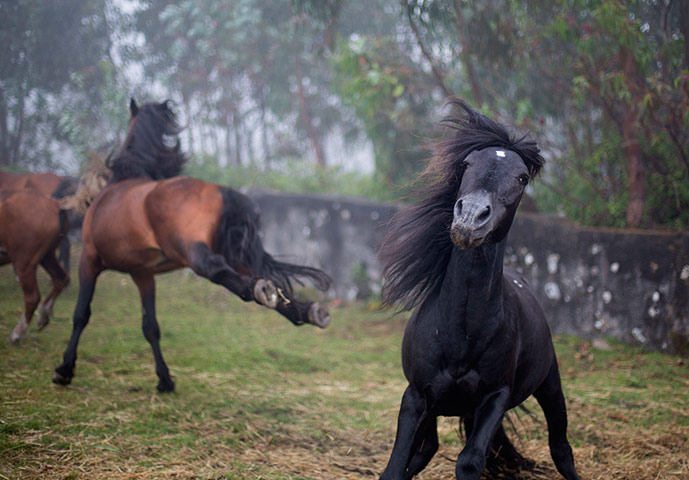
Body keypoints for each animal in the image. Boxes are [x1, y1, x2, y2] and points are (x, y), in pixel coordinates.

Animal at [0, 189, 70, 344]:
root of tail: (55, 205)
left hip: (24, 263)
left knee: (32, 297)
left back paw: (16, 335)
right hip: (47, 256)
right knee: (61, 279)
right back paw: (43, 314)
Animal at [51, 99, 330, 392]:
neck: (120, 183)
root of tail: (223, 193)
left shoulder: (90, 260)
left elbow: (81, 314)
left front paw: (64, 370)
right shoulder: (143, 273)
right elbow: (150, 326)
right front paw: (165, 380)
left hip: (193, 251)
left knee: (219, 270)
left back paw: (261, 291)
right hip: (235, 255)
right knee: (267, 282)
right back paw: (305, 310)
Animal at [376, 100, 580, 480]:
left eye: (522, 177)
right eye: (468, 164)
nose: (470, 218)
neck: (460, 334)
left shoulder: (495, 399)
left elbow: (470, 462)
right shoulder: (415, 397)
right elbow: (395, 466)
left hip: (550, 386)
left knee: (562, 448)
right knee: (426, 449)